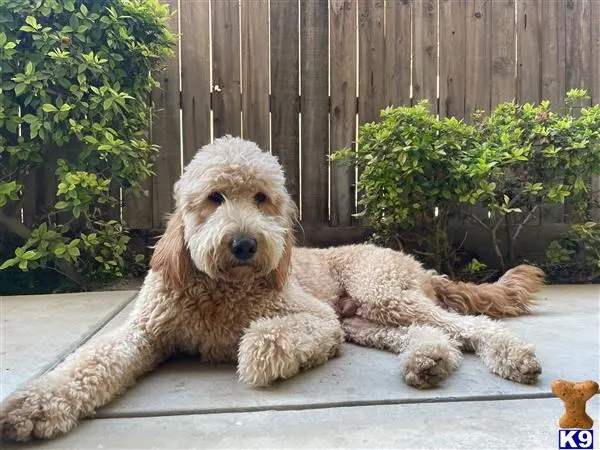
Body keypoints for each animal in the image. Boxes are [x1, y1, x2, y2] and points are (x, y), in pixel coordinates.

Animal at [0, 136, 544, 440]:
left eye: (262, 198)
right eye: (214, 197)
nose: (244, 244)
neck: (221, 287)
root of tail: (413, 262)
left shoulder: (318, 320)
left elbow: (268, 334)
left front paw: (257, 354)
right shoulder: (145, 333)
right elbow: (90, 364)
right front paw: (36, 404)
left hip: (380, 294)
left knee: (468, 324)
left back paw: (511, 355)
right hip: (364, 319)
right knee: (432, 334)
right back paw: (427, 361)